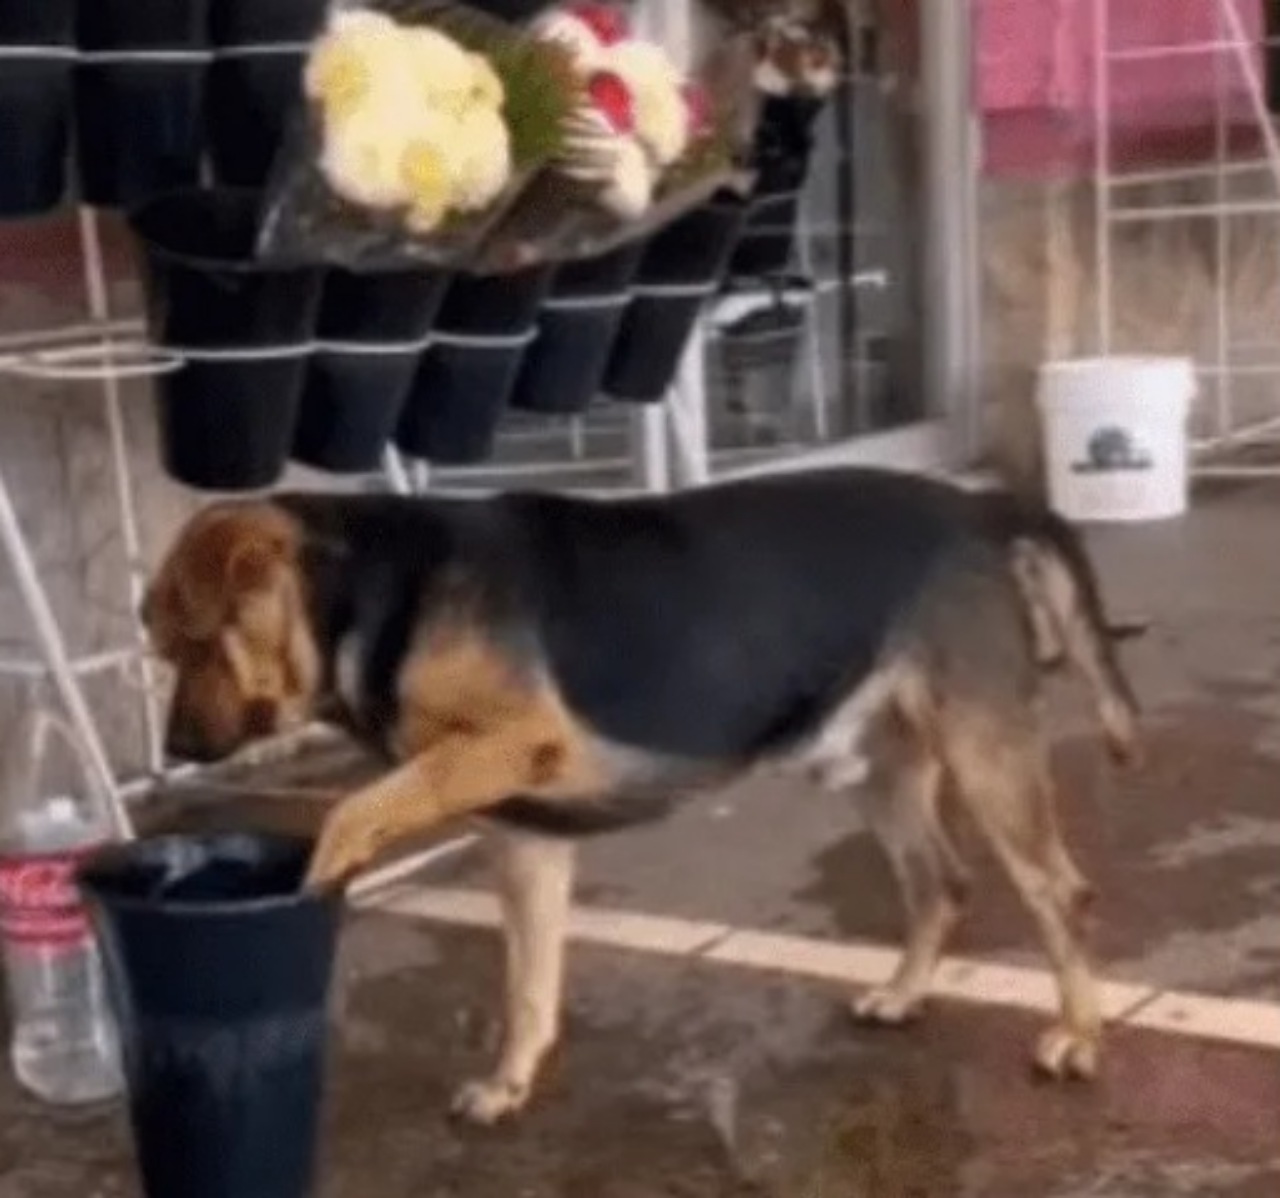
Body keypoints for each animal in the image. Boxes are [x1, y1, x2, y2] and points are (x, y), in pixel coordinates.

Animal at [142, 465, 1141, 1121]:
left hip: (985, 758)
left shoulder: (516, 743)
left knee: (1059, 893)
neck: (367, 593)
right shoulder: (526, 839)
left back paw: (1082, 1037)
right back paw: (904, 993)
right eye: (164, 647)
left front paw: (323, 872)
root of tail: (979, 505)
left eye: (192, 640)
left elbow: (357, 808)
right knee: (941, 883)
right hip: (883, 769)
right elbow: (528, 983)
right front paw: (511, 1081)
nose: (176, 749)